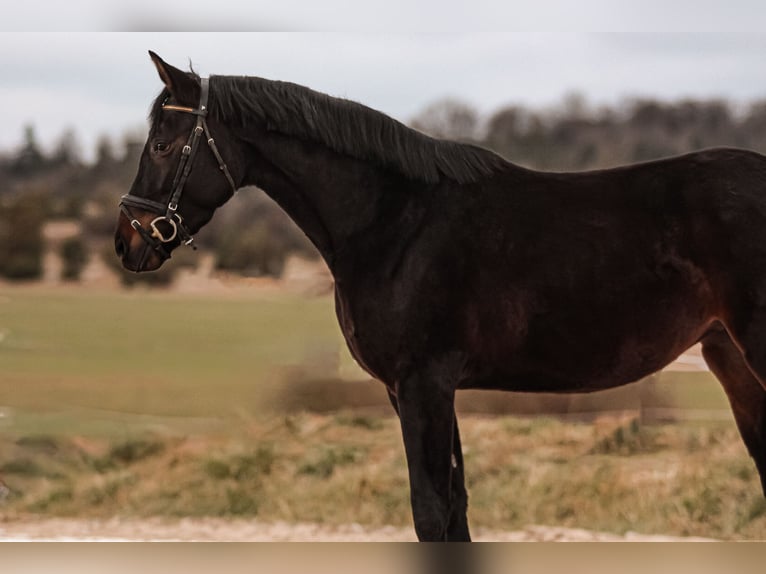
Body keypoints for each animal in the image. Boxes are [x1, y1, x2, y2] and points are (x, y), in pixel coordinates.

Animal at [115, 51, 766, 541]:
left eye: (164, 146)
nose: (129, 241)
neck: (394, 219)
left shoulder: (422, 382)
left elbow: (430, 512)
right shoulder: (423, 390)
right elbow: (456, 508)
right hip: (729, 358)